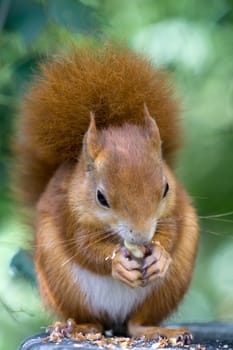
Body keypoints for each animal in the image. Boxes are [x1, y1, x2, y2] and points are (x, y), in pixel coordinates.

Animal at [14, 45, 198, 344]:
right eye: (101, 197)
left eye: (166, 189)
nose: (142, 238)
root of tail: (115, 320)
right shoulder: (69, 215)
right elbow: (85, 248)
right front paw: (116, 263)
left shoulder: (176, 208)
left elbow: (172, 231)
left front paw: (159, 255)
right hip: (64, 287)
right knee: (96, 322)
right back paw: (76, 328)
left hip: (168, 287)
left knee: (135, 325)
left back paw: (157, 330)